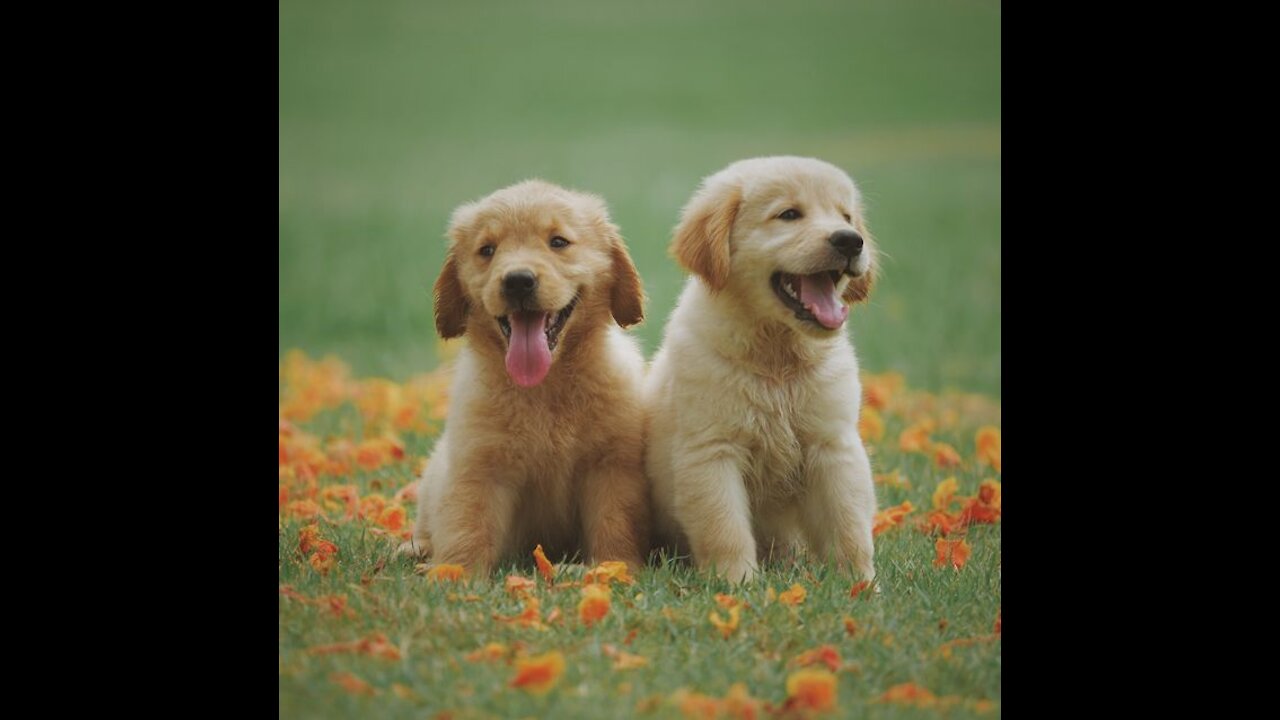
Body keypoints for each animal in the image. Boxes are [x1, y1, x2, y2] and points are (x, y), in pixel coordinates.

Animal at [401, 179, 650, 571]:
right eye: (487, 250)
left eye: (558, 242)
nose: (518, 281)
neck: (544, 387)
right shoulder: (479, 465)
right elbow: (467, 524)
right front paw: (455, 572)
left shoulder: (611, 465)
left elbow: (615, 522)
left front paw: (614, 567)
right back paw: (415, 548)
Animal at [650, 156, 880, 584]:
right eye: (788, 215)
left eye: (846, 216)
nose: (850, 240)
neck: (777, 358)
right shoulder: (712, 451)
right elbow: (724, 528)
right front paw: (735, 585)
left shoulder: (832, 446)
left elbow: (848, 524)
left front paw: (860, 585)